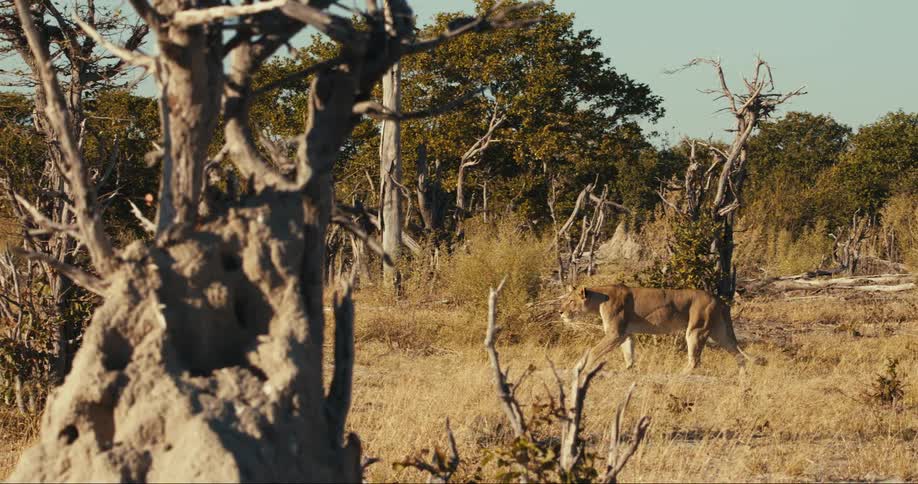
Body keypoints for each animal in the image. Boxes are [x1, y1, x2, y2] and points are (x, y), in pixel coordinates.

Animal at [560, 284, 761, 373]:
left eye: (570, 301)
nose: (560, 311)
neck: (600, 299)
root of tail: (718, 299)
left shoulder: (615, 333)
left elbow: (593, 351)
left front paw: (580, 367)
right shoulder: (625, 333)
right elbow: (629, 353)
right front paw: (629, 369)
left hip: (696, 330)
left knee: (695, 361)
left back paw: (679, 374)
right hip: (720, 332)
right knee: (738, 354)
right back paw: (743, 377)